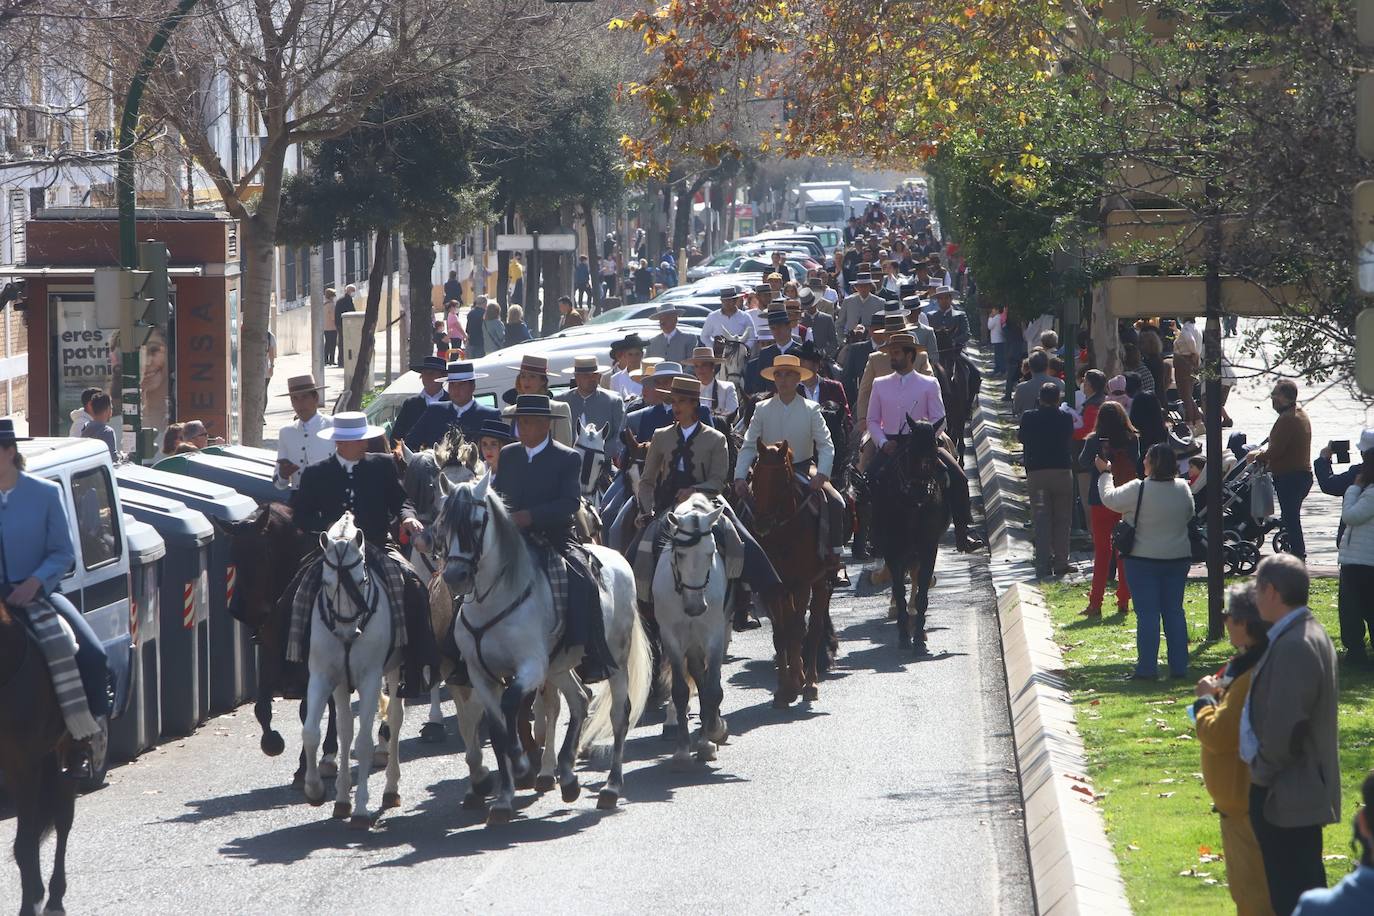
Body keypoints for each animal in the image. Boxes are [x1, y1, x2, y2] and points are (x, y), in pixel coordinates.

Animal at [300, 516, 401, 829]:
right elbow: (312, 732)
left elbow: (364, 742)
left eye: (362, 581)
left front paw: (360, 810)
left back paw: (391, 790)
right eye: (326, 582)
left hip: (396, 671)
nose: (349, 634)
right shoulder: (324, 677)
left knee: (395, 718)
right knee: (345, 728)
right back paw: (342, 798)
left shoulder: (370, 679)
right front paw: (316, 790)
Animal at [439, 477, 654, 818]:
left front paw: (522, 763)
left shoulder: (531, 667)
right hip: (559, 666)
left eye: (474, 523)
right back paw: (566, 776)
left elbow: (510, 706)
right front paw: (503, 799)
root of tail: (618, 558)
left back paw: (610, 787)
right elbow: (497, 730)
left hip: (615, 660)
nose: (454, 576)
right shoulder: (479, 675)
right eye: (444, 523)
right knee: (579, 699)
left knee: (619, 715)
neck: (494, 600)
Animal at [651, 497, 730, 763]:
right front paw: (683, 749)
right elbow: (680, 691)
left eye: (711, 553)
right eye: (680, 554)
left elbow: (713, 689)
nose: (696, 607)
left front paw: (714, 733)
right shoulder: (671, 637)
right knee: (697, 675)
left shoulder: (714, 635)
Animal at [747, 439, 829, 708]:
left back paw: (810, 682)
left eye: (782, 481)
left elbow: (798, 631)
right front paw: (785, 688)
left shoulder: (803, 583)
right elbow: (781, 634)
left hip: (821, 583)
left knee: (814, 628)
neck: (784, 533)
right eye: (755, 477)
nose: (762, 524)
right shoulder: (773, 588)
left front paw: (798, 685)